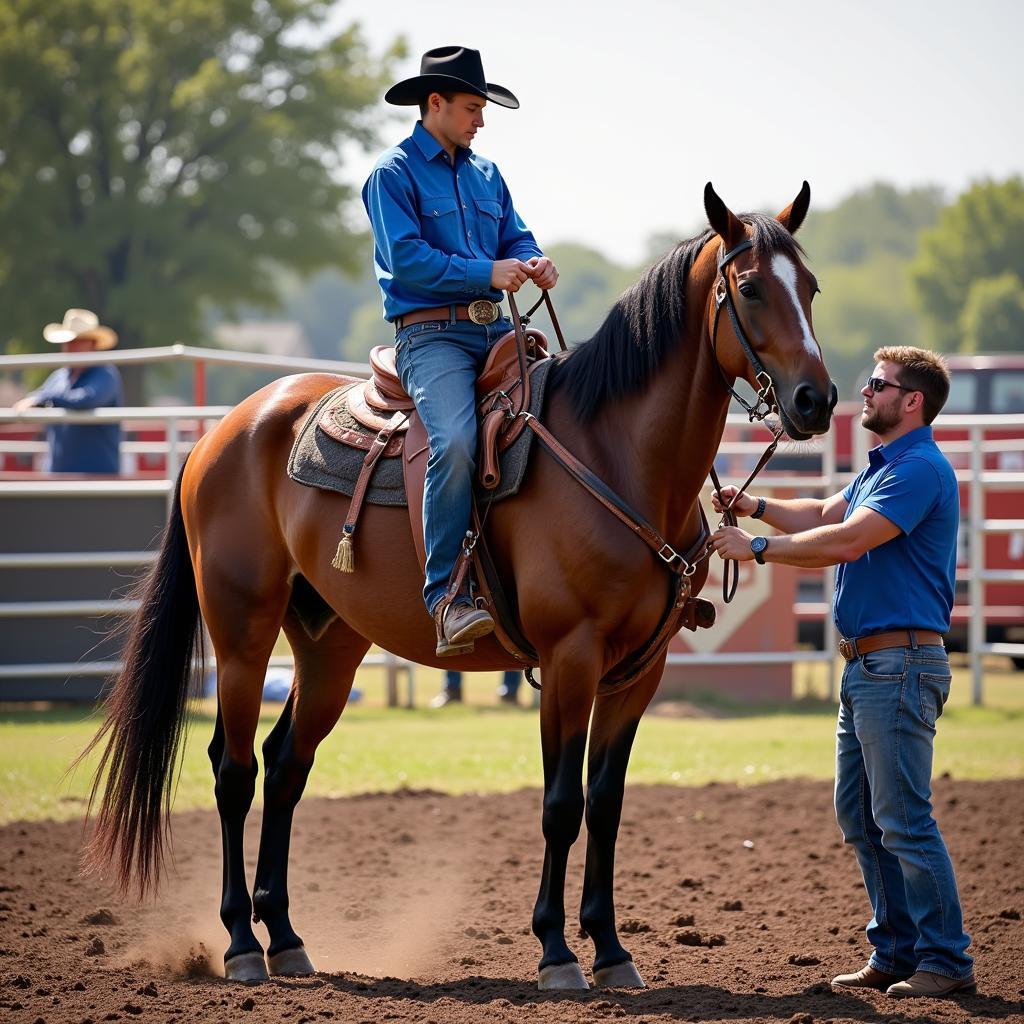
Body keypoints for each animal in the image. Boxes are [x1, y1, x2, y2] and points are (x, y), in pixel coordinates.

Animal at [77, 184, 831, 991]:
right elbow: (561, 804)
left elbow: (606, 803)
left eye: (812, 288)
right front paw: (557, 952)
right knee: (234, 770)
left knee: (284, 768)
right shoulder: (570, 658)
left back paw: (285, 938)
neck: (618, 455)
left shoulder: (638, 672)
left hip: (328, 647)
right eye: (749, 288)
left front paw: (611, 950)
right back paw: (243, 946)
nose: (816, 400)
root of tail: (224, 432)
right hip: (241, 632)